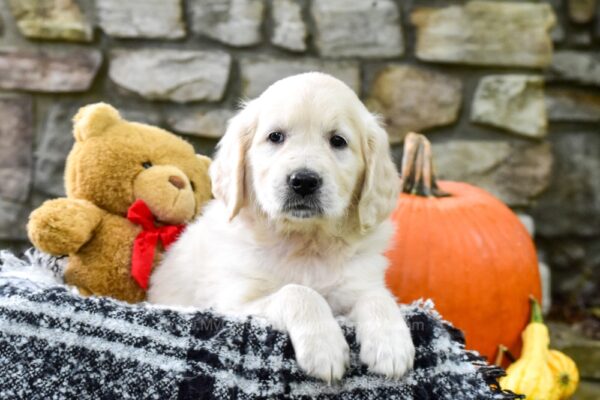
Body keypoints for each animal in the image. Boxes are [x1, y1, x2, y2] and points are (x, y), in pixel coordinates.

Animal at [148, 73, 414, 382]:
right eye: (276, 137)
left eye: (338, 141)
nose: (304, 181)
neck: (305, 243)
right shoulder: (232, 302)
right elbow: (297, 292)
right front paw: (324, 347)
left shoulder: (357, 281)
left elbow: (378, 296)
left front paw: (391, 344)